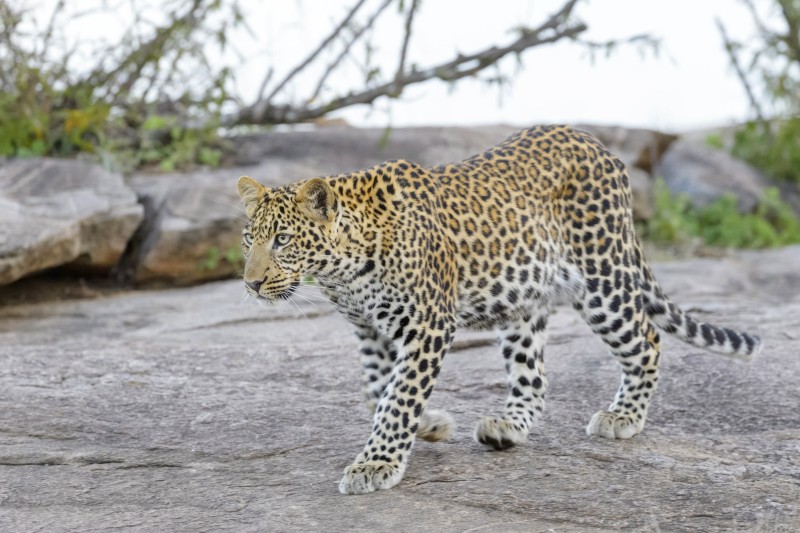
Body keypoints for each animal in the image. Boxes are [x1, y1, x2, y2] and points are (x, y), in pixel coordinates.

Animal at [236, 125, 762, 495]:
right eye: (249, 239)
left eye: (283, 240)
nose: (250, 282)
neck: (342, 272)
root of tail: (599, 145)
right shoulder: (370, 331)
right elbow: (377, 392)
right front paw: (428, 426)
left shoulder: (428, 324)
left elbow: (398, 396)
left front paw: (376, 464)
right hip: (523, 303)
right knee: (534, 376)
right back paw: (507, 429)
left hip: (602, 279)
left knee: (647, 339)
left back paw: (623, 417)